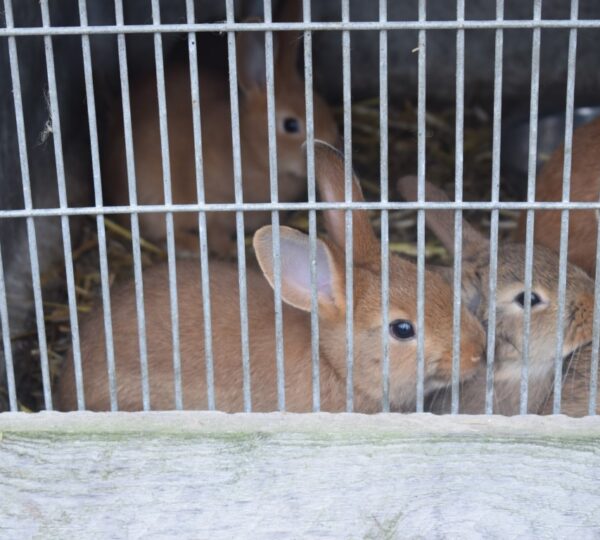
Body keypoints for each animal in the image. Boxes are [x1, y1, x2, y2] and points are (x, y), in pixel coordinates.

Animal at [103, 0, 338, 258]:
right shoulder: (213, 203)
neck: (251, 150)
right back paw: (189, 246)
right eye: (291, 124)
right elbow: (216, 234)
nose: (332, 142)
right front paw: (232, 250)